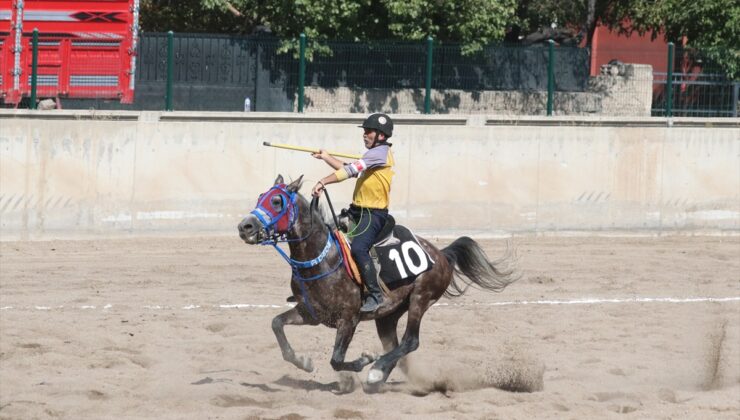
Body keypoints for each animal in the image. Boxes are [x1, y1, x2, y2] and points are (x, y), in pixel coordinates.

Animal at [240, 175, 516, 388]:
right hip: (387, 316)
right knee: (395, 345)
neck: (322, 259)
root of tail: (442, 255)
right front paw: (304, 363)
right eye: (260, 197)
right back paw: (377, 379)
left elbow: (336, 359)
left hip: (420, 299)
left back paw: (375, 371)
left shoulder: (348, 318)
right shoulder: (310, 313)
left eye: (277, 201)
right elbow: (277, 324)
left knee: (410, 341)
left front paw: (364, 361)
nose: (245, 226)